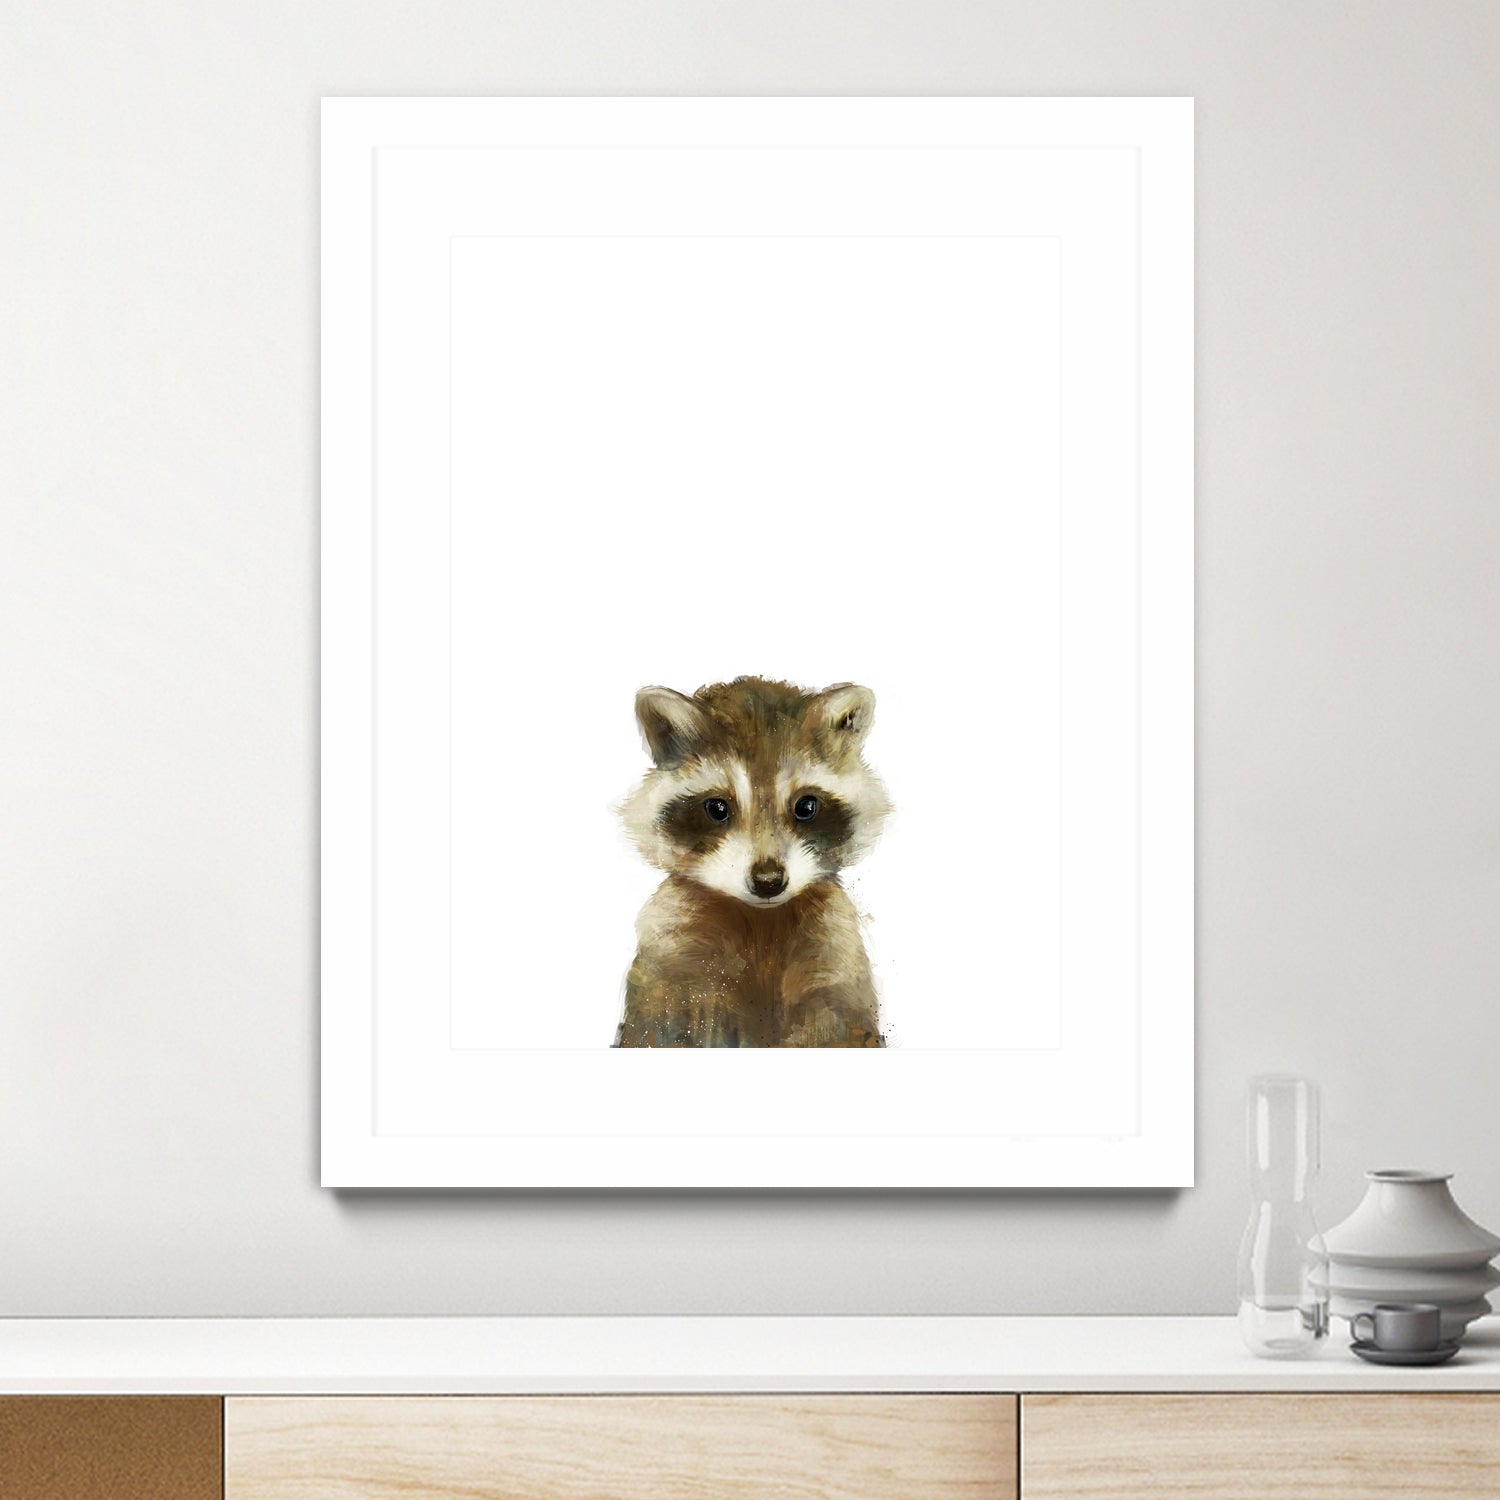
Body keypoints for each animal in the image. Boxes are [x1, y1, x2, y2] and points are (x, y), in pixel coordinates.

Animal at [615, 676, 891, 1047]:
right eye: (717, 808)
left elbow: (838, 1025)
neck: (762, 921)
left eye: (806, 806)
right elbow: (663, 1026)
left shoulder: (835, 954)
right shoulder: (671, 957)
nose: (768, 881)